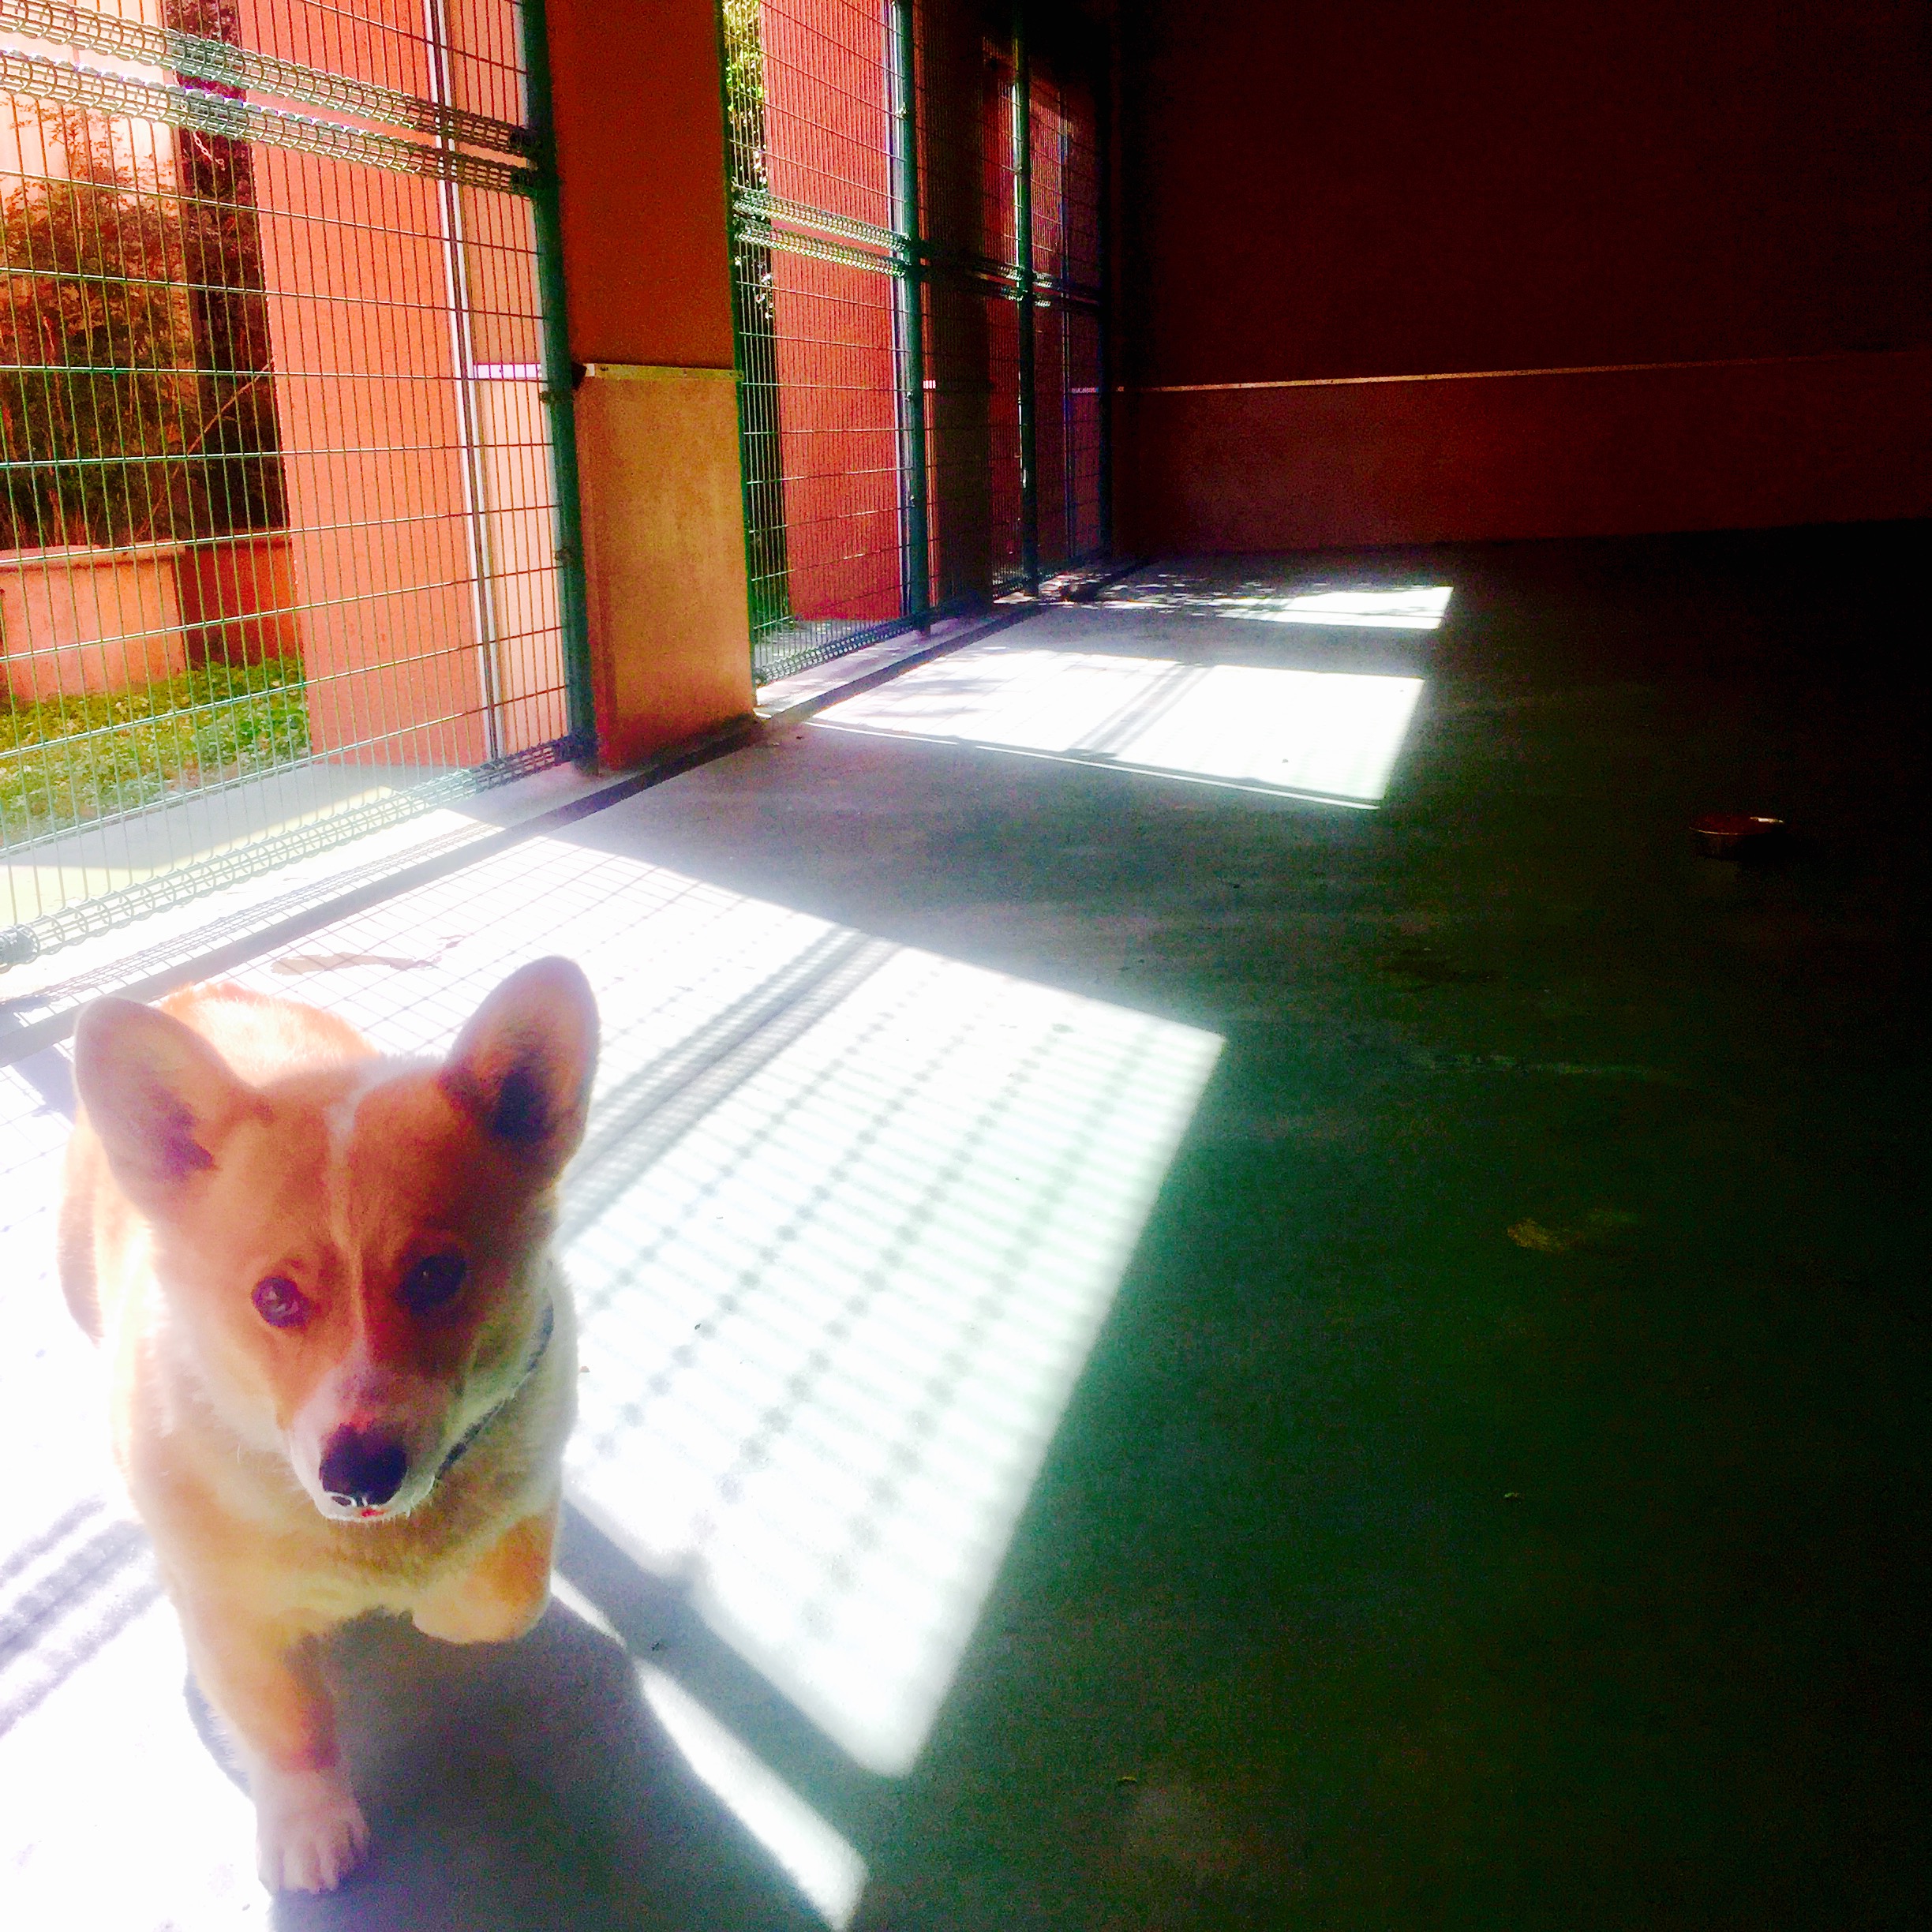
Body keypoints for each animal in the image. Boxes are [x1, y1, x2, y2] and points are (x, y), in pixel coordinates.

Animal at [58, 957, 598, 1892]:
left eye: (436, 1275)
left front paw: (429, 1607)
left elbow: (497, 1604)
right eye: (275, 1299)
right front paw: (310, 1832)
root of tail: (198, 992)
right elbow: (287, 1723)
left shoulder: (529, 1493)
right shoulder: (233, 1614)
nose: (359, 1480)